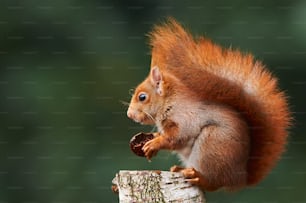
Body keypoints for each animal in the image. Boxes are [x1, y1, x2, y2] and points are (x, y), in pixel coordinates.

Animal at [125, 18, 290, 191]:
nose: (129, 114)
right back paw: (181, 169)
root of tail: (241, 177)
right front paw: (154, 139)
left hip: (212, 145)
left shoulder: (185, 118)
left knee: (213, 183)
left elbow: (177, 137)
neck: (170, 102)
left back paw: (198, 177)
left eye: (142, 97)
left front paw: (154, 144)